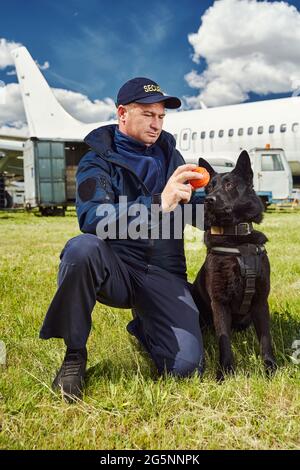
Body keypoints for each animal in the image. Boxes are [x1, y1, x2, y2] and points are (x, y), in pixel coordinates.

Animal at [192, 152, 276, 380]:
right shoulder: (219, 302)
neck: (237, 240)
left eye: (229, 185)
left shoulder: (260, 302)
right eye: (209, 187)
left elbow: (266, 339)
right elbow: (224, 340)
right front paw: (225, 373)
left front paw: (270, 368)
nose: (208, 200)